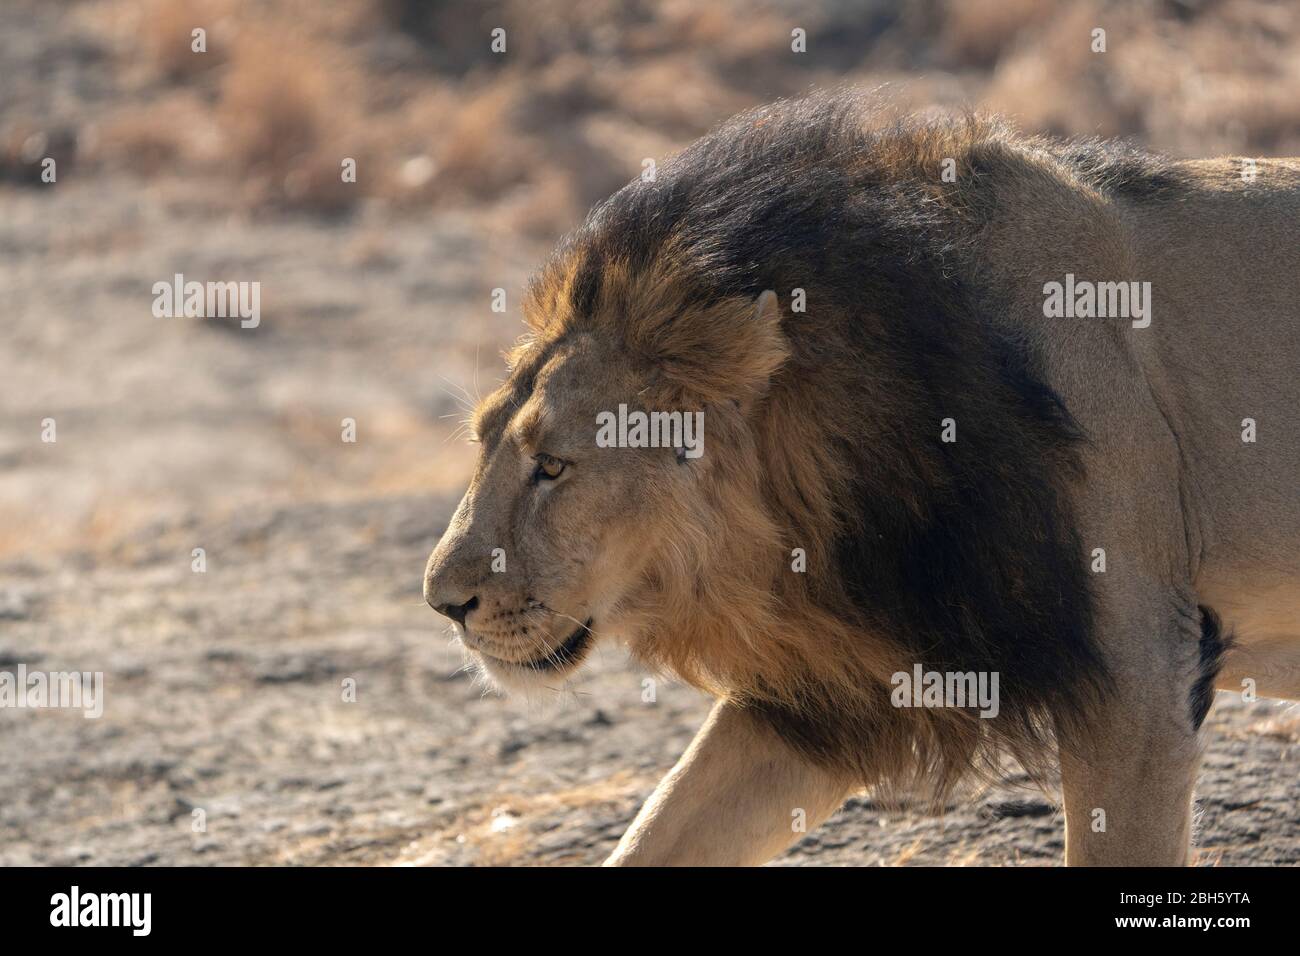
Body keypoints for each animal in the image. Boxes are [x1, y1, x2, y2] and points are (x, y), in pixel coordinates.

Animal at [423, 91, 1300, 866]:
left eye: (553, 467)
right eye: (482, 444)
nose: (442, 603)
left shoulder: (1140, 674)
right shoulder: (830, 692)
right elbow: (659, 830)